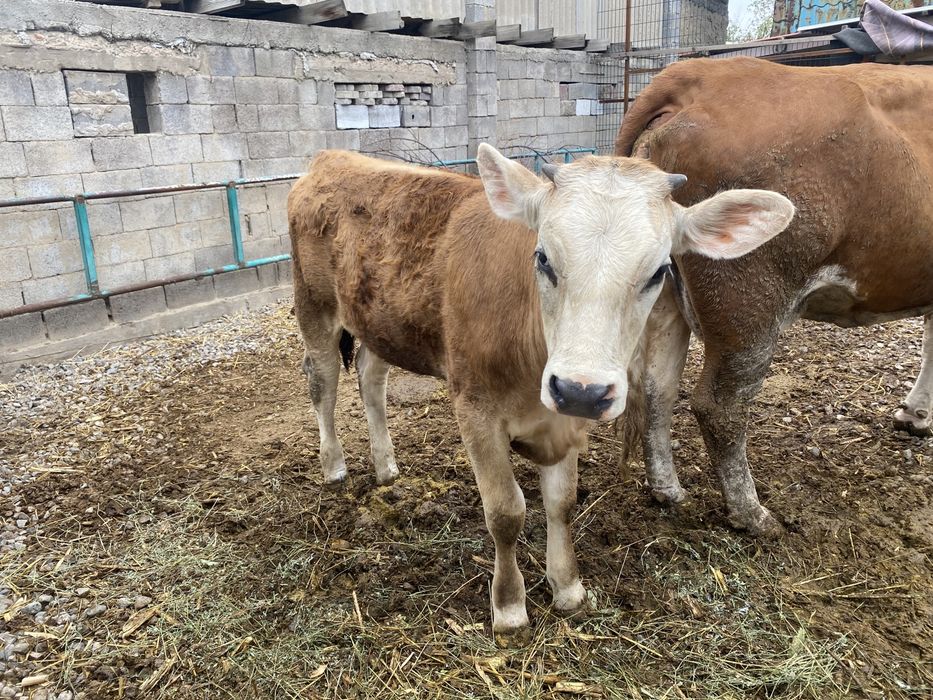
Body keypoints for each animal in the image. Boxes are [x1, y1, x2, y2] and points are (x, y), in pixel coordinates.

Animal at [286, 144, 793, 634]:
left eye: (659, 271)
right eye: (544, 257)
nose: (581, 390)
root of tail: (330, 159)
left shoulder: (563, 418)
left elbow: (561, 503)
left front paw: (567, 587)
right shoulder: (475, 410)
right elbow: (506, 512)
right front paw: (509, 607)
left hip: (381, 323)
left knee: (371, 376)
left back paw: (386, 465)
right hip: (314, 305)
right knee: (322, 379)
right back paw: (334, 465)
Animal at [614, 57, 933, 538]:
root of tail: (699, 72)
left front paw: (914, 415)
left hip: (666, 294)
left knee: (657, 387)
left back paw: (668, 490)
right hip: (750, 299)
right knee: (720, 407)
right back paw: (752, 515)